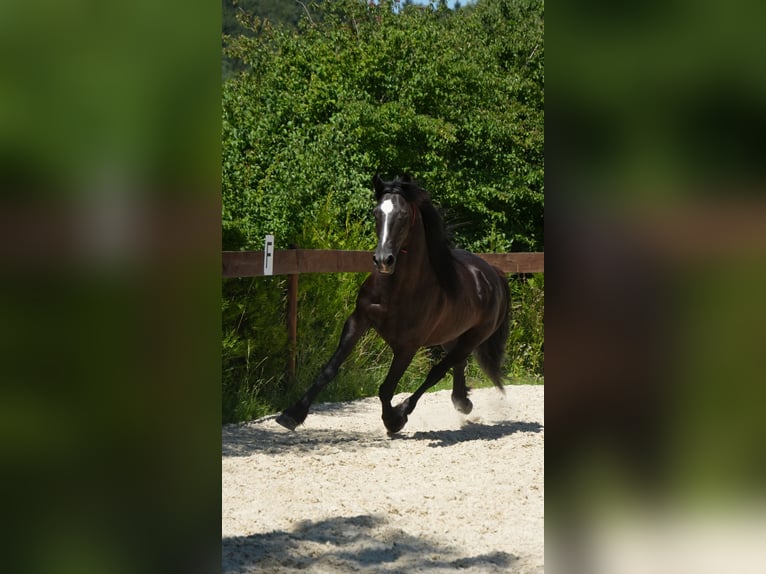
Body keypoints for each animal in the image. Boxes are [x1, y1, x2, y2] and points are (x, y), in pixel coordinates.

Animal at [276, 174, 511, 434]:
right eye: (376, 212)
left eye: (404, 215)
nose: (383, 260)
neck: (396, 290)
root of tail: (493, 274)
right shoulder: (358, 320)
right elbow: (329, 369)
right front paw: (292, 415)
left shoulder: (407, 346)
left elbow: (386, 388)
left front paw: (393, 420)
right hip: (450, 335)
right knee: (456, 365)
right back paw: (462, 402)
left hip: (472, 338)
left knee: (437, 372)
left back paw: (407, 411)